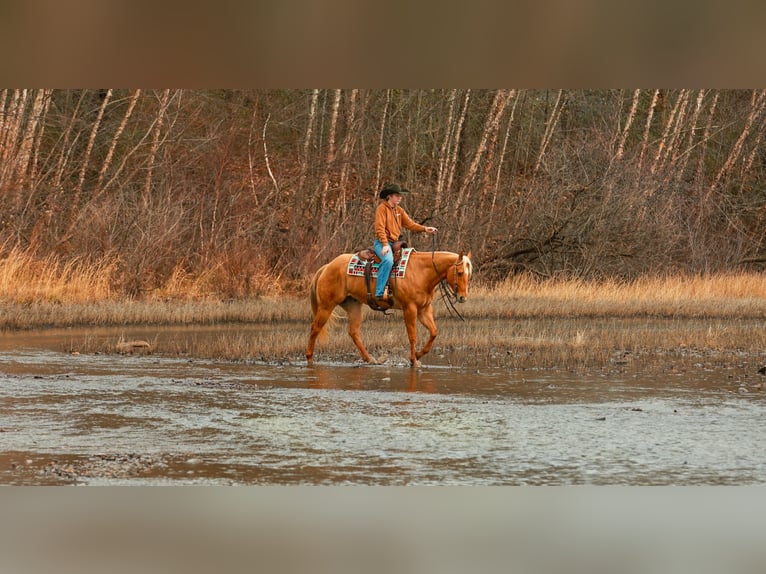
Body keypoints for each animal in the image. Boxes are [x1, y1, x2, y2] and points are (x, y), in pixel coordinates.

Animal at [306, 249, 473, 368]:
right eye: (459, 273)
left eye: (469, 275)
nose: (462, 298)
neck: (421, 272)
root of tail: (327, 266)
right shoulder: (410, 309)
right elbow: (412, 336)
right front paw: (413, 361)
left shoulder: (424, 310)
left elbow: (433, 332)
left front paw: (418, 355)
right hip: (326, 306)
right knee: (315, 328)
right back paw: (309, 358)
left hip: (353, 307)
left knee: (353, 332)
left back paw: (370, 359)